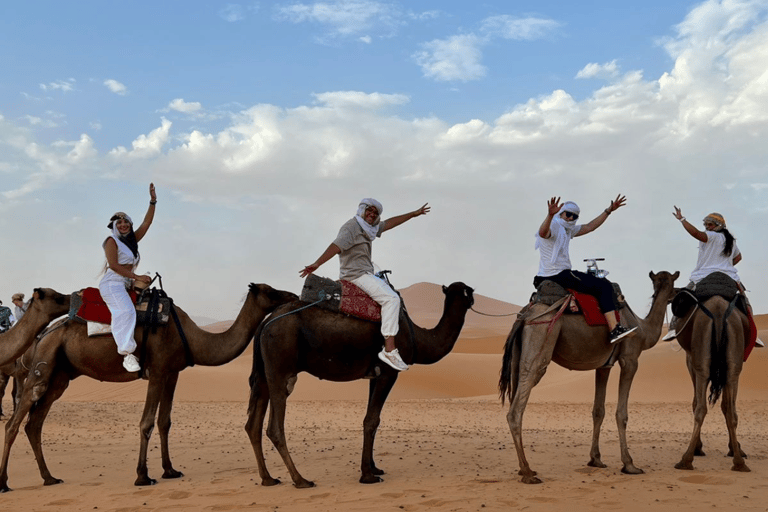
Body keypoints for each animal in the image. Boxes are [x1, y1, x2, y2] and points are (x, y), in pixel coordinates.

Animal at [244, 282, 474, 486]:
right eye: (469, 291)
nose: (473, 299)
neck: (416, 335)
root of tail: (265, 323)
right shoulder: (389, 372)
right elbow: (371, 420)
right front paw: (367, 476)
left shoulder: (375, 375)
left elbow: (372, 420)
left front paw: (374, 467)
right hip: (279, 367)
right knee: (274, 428)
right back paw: (300, 480)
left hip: (265, 373)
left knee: (253, 424)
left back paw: (268, 479)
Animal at [498, 272, 680, 484]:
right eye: (674, 284)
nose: (677, 293)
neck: (642, 328)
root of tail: (525, 316)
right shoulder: (630, 359)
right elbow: (621, 414)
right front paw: (629, 464)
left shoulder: (603, 366)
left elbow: (598, 411)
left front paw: (596, 459)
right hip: (541, 335)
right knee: (517, 407)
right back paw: (527, 472)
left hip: (518, 355)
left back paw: (524, 469)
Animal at [672, 292, 752, 472]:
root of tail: (719, 312)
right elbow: (727, 407)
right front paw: (735, 448)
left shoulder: (691, 361)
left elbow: (695, 402)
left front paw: (698, 448)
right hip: (733, 362)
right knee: (731, 411)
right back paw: (739, 463)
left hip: (702, 361)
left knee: (701, 408)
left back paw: (686, 460)